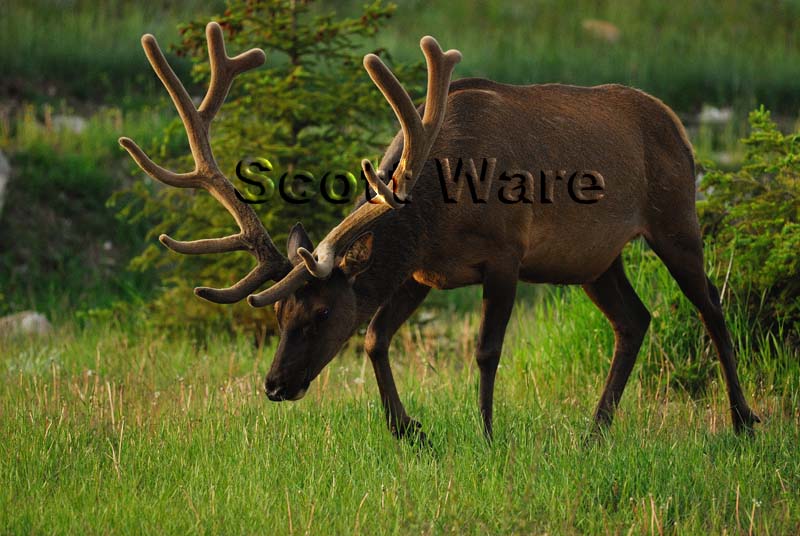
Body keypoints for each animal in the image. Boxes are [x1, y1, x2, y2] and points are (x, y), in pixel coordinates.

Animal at [120, 22, 759, 441]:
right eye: (279, 313)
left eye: (321, 313)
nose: (275, 384)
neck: (433, 211)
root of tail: (677, 123)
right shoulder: (421, 271)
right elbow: (375, 338)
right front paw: (408, 429)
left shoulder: (505, 254)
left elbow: (485, 349)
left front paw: (487, 434)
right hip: (595, 260)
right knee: (635, 319)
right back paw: (596, 428)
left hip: (676, 218)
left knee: (711, 308)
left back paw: (743, 420)